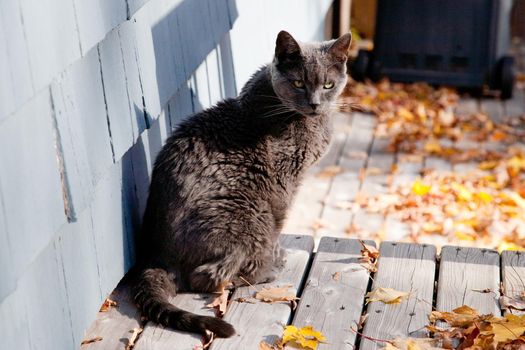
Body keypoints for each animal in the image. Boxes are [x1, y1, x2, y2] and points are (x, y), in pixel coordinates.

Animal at [132, 30, 352, 340]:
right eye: (298, 83)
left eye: (328, 85)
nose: (314, 104)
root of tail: (157, 256)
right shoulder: (284, 181)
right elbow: (279, 225)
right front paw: (276, 256)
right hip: (250, 213)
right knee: (205, 276)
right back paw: (262, 272)